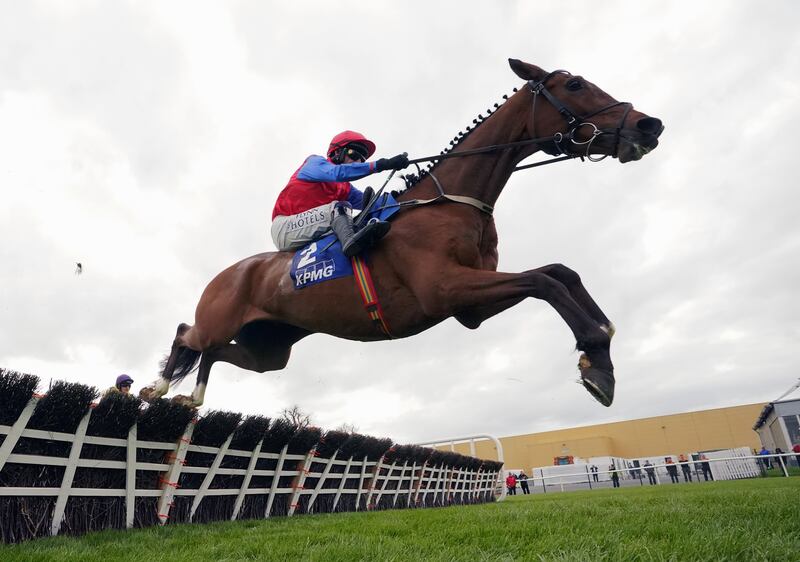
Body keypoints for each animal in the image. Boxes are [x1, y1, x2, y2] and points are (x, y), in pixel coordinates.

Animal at [142, 59, 664, 410]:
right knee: (188, 334)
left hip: (269, 348)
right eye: (575, 84)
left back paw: (193, 395)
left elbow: (560, 272)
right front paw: (596, 360)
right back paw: (159, 386)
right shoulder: (444, 288)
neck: (451, 202)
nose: (649, 125)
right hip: (223, 321)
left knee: (212, 352)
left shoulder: (469, 308)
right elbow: (543, 281)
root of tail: (226, 274)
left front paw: (601, 350)